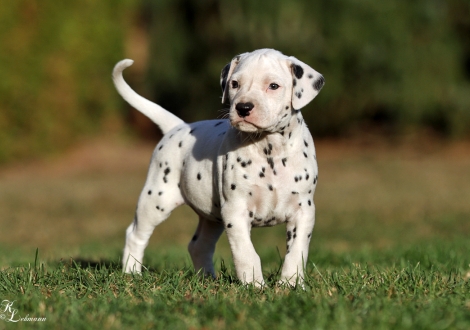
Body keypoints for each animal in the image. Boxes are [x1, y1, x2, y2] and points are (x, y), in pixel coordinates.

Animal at [112, 47, 324, 288]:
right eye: (235, 83)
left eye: (273, 86)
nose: (243, 107)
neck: (269, 149)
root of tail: (178, 127)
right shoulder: (236, 210)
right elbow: (246, 252)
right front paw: (254, 285)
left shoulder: (303, 211)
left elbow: (296, 251)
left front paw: (291, 284)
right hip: (157, 198)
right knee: (135, 235)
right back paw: (131, 273)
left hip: (211, 216)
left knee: (198, 245)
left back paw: (207, 278)